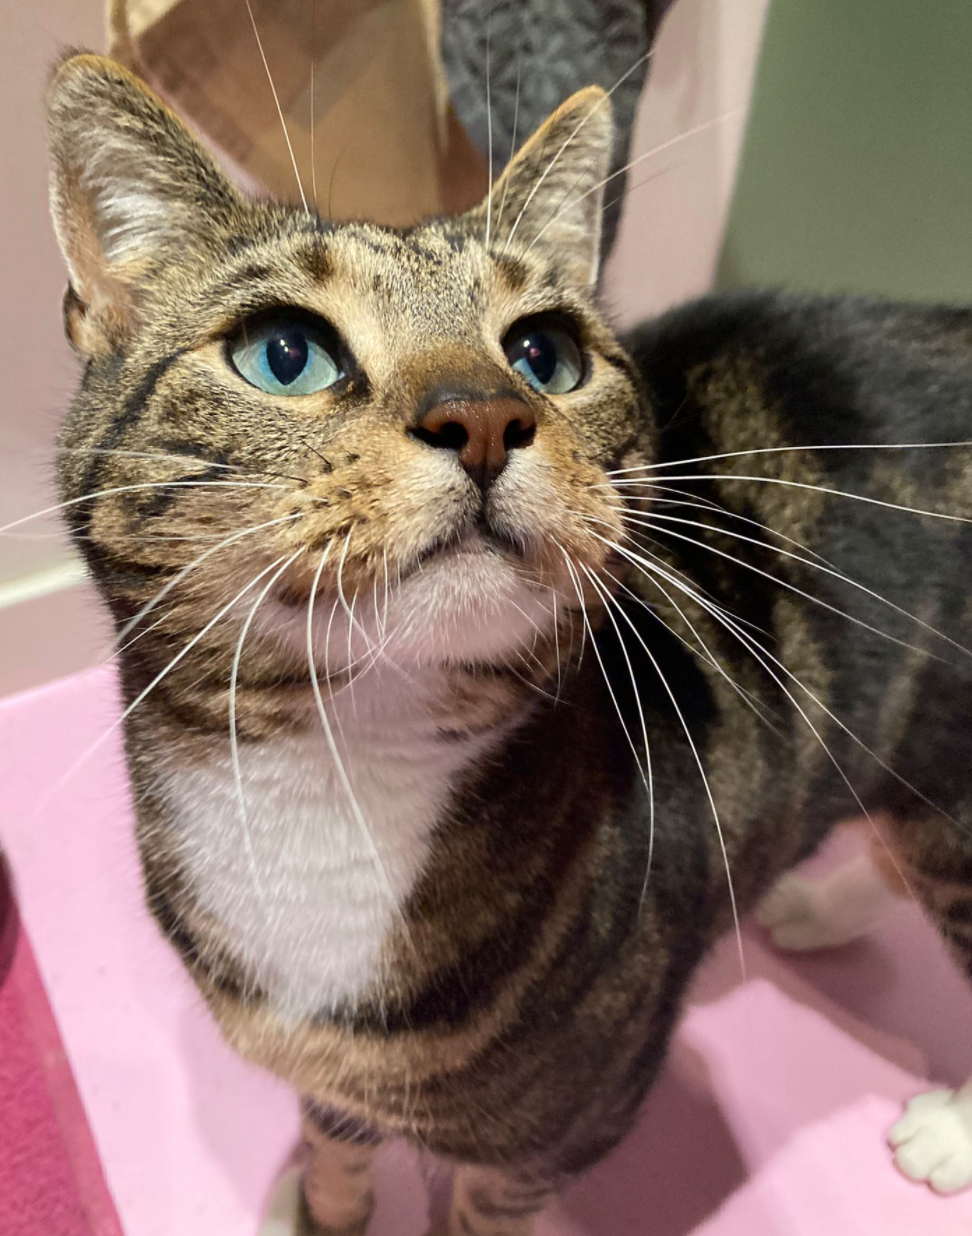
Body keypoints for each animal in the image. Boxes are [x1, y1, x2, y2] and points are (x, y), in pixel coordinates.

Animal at [47, 48, 972, 1236]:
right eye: (285, 354)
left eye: (545, 354)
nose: (482, 415)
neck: (339, 763)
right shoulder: (332, 1071)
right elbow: (337, 1136)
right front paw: (325, 1208)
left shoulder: (563, 1128)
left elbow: (487, 1205)